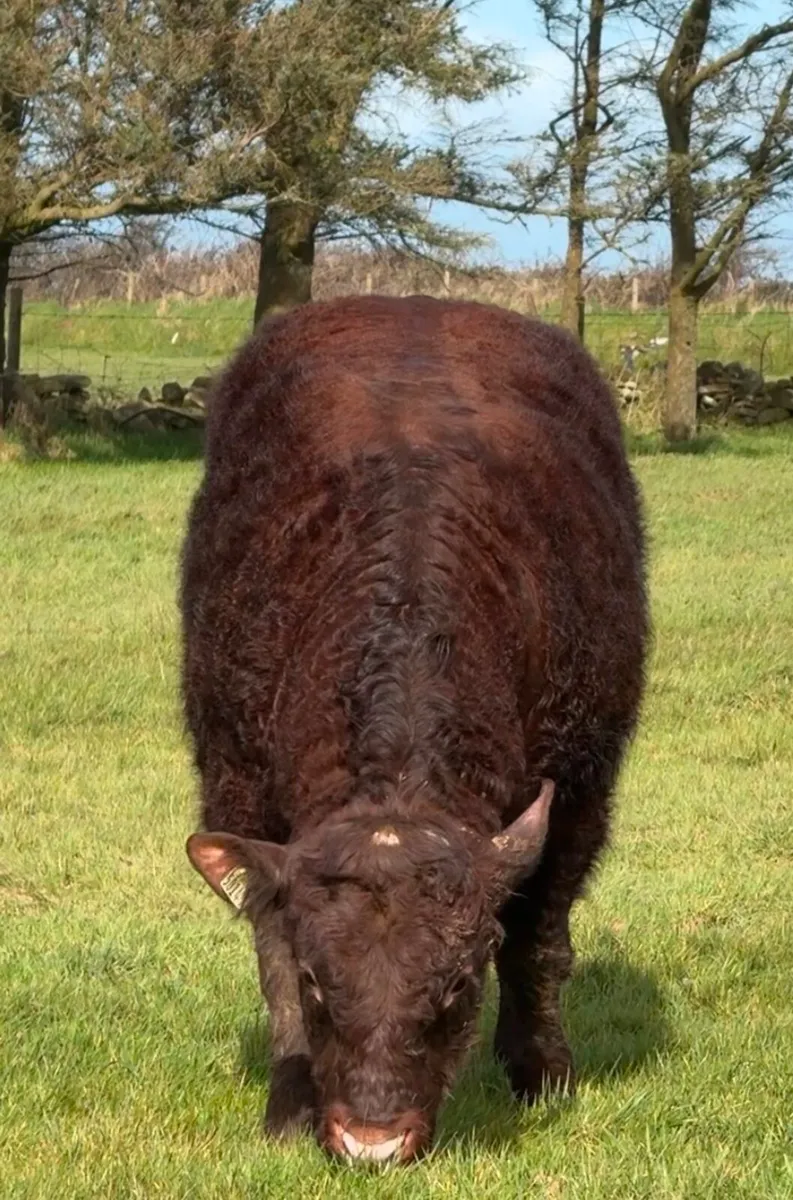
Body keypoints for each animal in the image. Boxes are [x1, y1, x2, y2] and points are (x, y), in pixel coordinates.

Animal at [181, 294, 648, 1164]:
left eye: (458, 985)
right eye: (318, 983)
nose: (371, 1141)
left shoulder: (579, 791)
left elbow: (538, 938)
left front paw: (542, 1070)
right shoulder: (236, 782)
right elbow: (269, 953)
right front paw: (289, 1101)